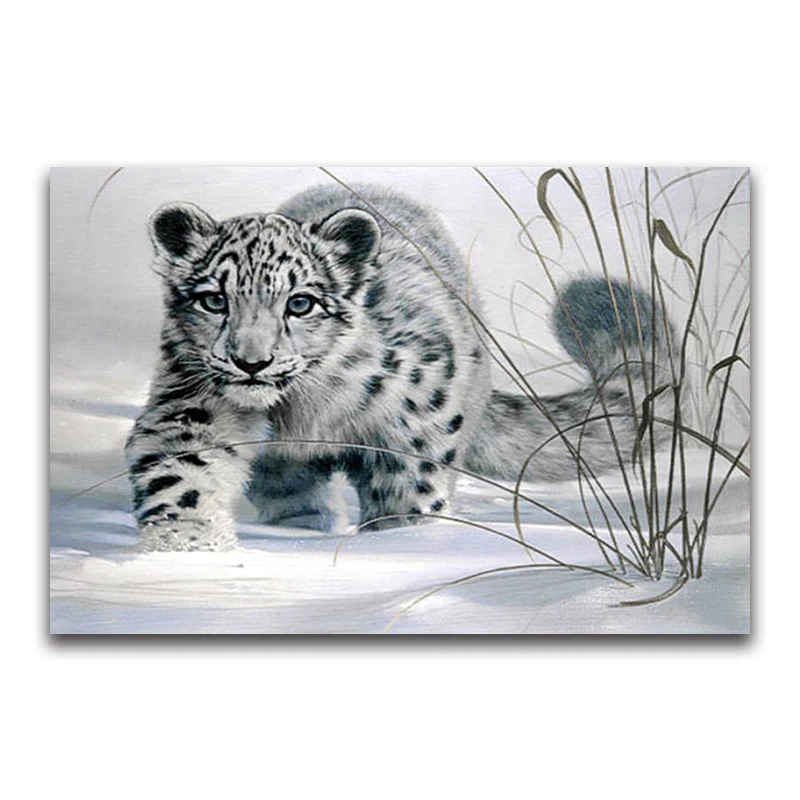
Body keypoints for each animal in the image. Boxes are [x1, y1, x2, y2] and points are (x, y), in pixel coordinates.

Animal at [125, 183, 671, 551]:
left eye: (300, 303)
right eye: (214, 299)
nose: (252, 362)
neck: (302, 409)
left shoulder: (412, 428)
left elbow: (410, 493)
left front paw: (401, 541)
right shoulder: (193, 403)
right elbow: (181, 473)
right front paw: (185, 551)